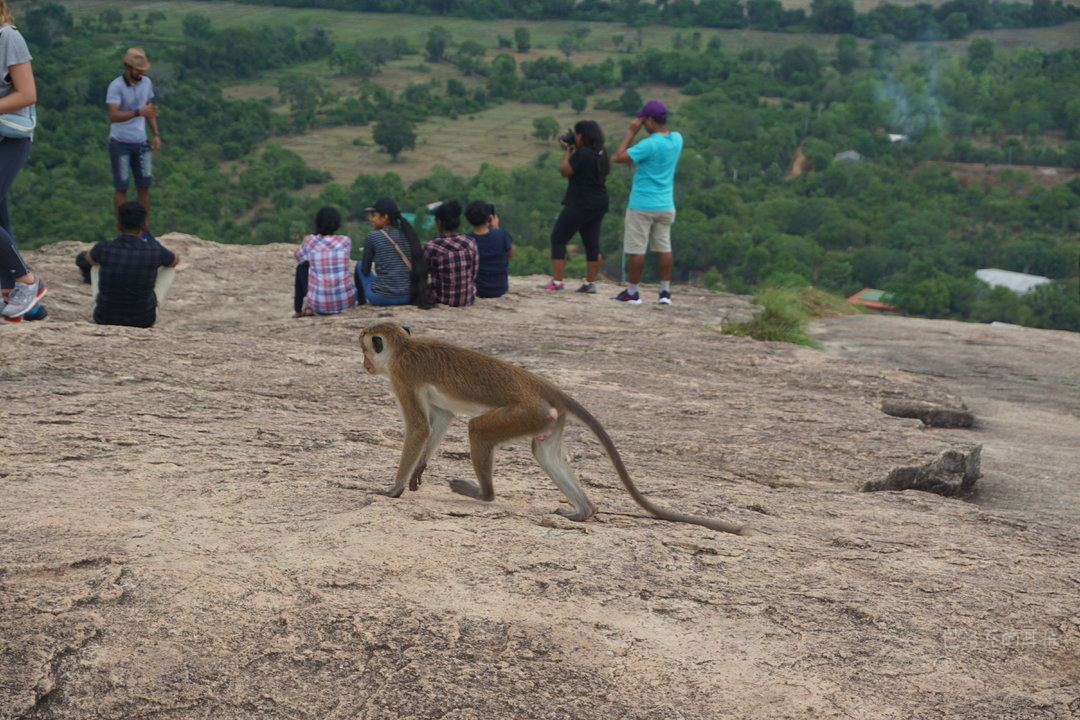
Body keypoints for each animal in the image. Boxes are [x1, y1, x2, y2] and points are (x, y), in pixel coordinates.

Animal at [358, 321, 747, 535]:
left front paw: (392, 490)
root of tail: (546, 387)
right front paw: (418, 470)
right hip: (548, 418)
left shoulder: (402, 377)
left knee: (478, 429)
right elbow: (440, 420)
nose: (364, 365)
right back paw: (584, 511)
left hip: (525, 412)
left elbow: (420, 427)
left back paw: (483, 494)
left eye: (366, 349)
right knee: (544, 453)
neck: (403, 347)